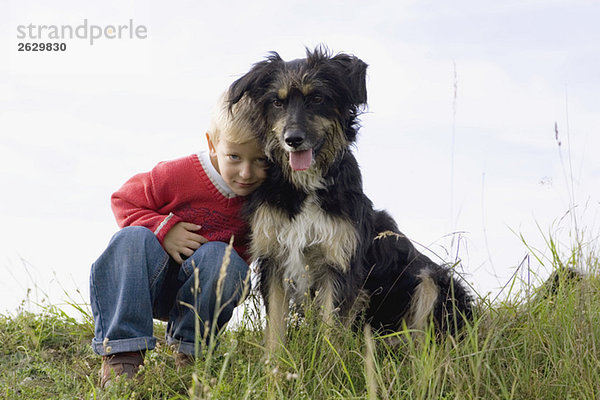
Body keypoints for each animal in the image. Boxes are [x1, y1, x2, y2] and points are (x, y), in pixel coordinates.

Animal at [227, 48, 472, 352]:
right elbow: (275, 331)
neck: (308, 186)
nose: (292, 139)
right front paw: (273, 365)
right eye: (277, 102)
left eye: (317, 98)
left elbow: (330, 332)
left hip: (432, 279)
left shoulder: (340, 264)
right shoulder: (274, 259)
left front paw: (327, 364)